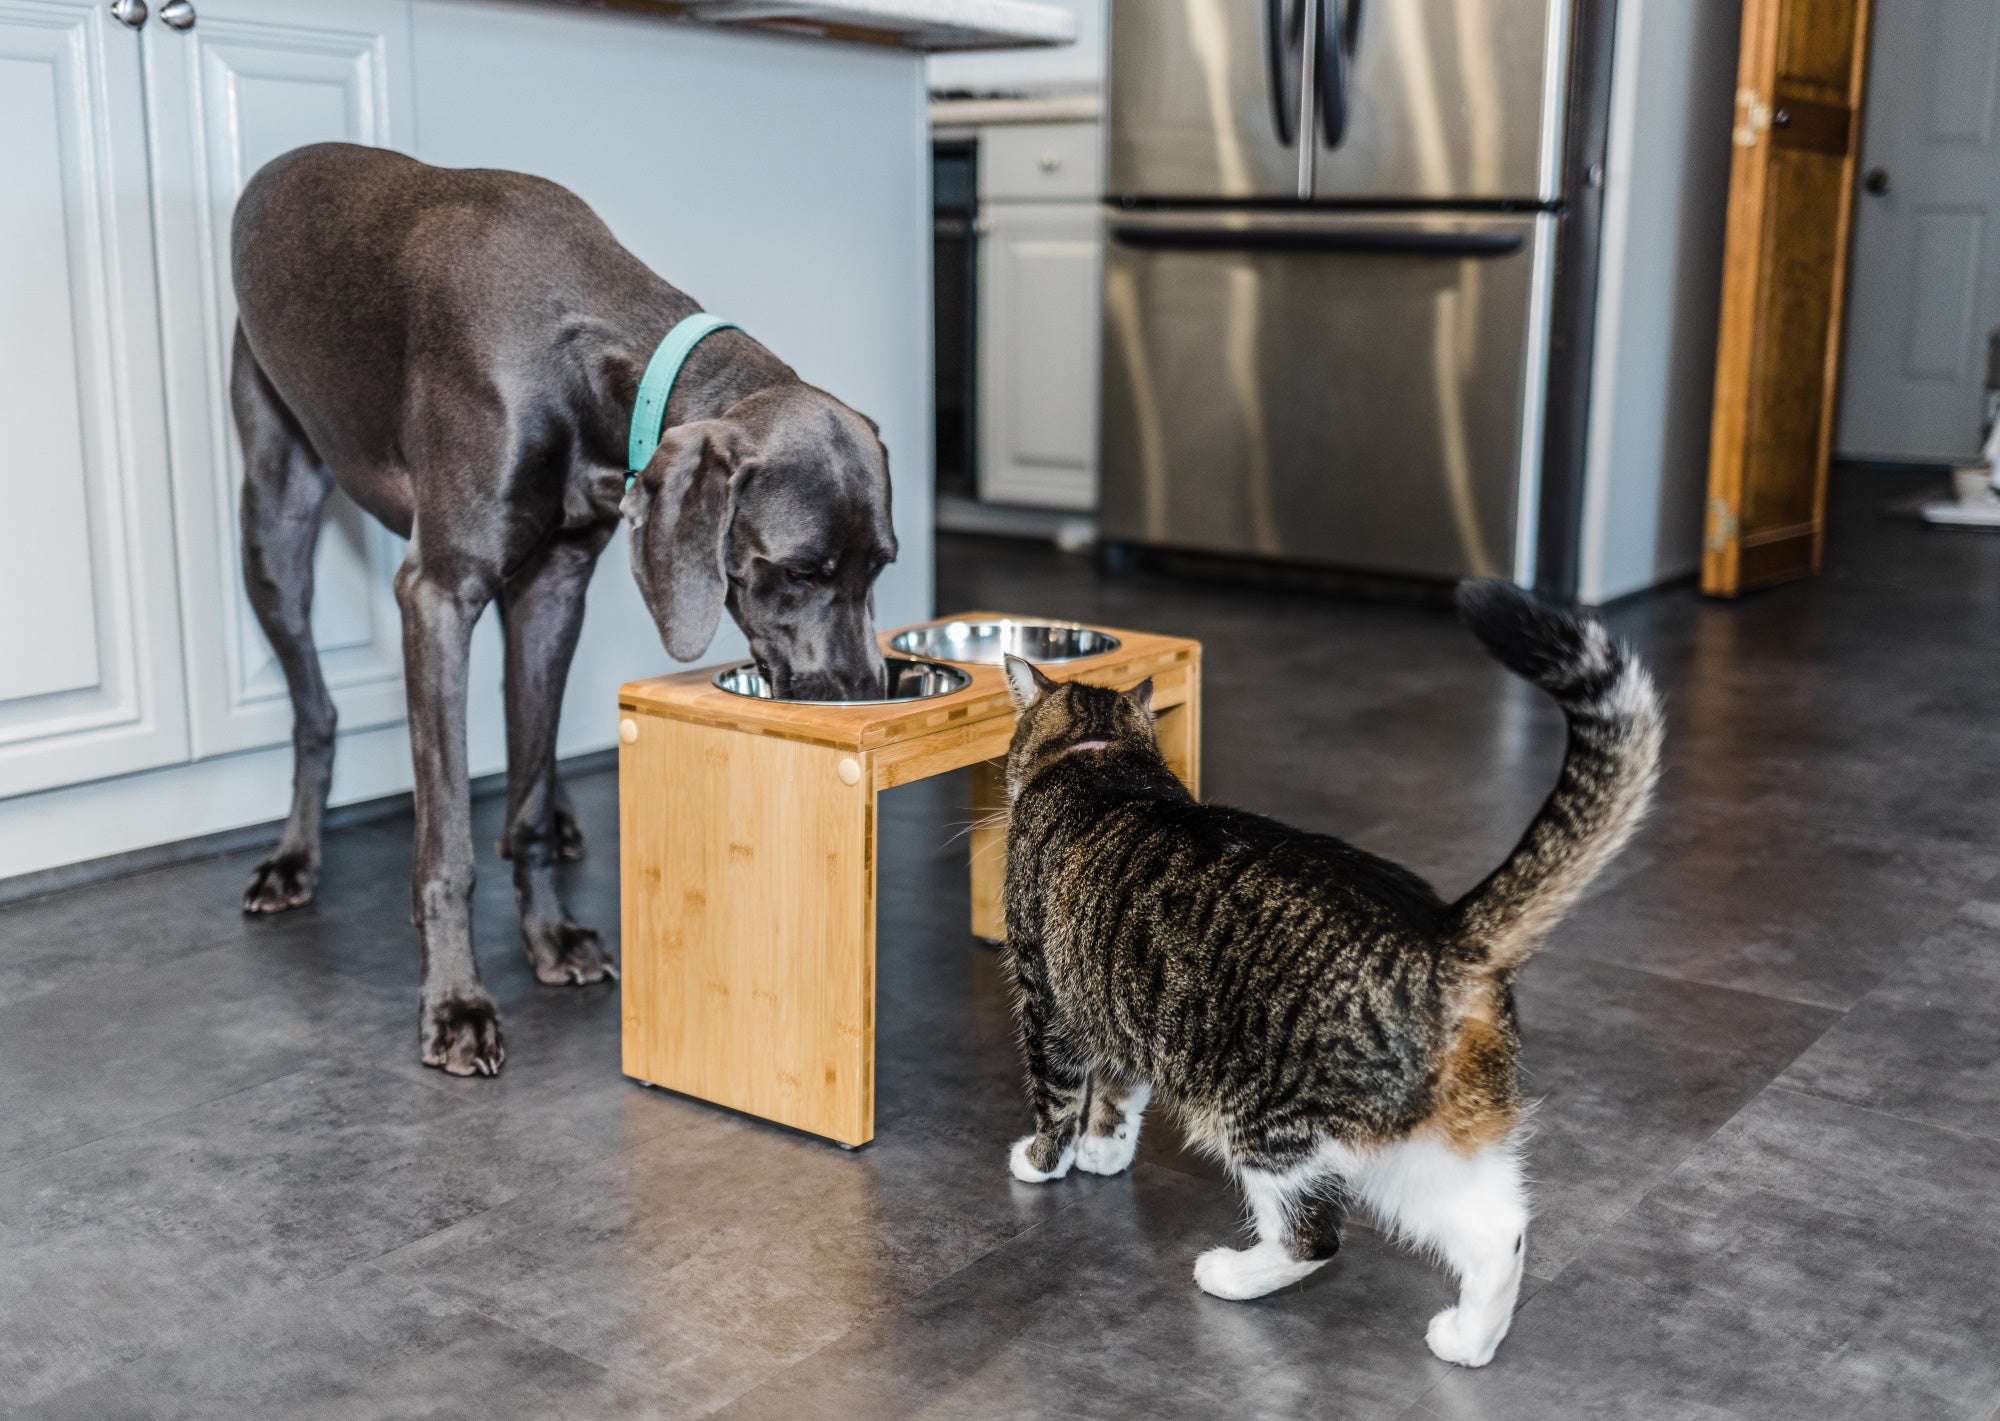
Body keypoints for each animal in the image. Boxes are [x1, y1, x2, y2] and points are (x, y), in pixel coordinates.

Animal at [227, 145, 900, 1080]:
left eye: (882, 567)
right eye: (799, 571)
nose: (868, 698)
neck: (592, 358)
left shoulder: (553, 588)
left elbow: (532, 793)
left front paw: (549, 936)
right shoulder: (438, 593)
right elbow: (446, 843)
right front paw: (456, 1004)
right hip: (275, 517)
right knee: (315, 709)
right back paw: (292, 860)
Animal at [992, 580, 1664, 1368]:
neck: (1101, 757)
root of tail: (1445, 937)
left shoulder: (1046, 997)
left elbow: (1058, 1095)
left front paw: (1043, 1160)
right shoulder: (1113, 998)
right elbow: (1120, 1091)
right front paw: (1104, 1151)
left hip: (1266, 1124)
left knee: (1314, 1235)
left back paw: (1228, 1273)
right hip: (1429, 1141)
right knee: (1502, 1231)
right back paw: (1468, 1339)